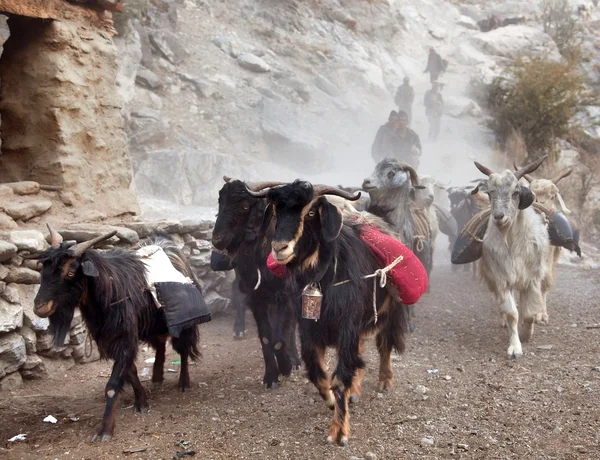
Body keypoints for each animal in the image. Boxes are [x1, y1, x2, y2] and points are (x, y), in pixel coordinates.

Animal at [31, 226, 202, 442]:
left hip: (181, 321)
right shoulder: (110, 339)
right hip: (154, 323)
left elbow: (112, 386)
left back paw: (183, 383)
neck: (107, 291)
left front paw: (105, 430)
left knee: (183, 348)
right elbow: (131, 371)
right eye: (43, 269)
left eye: (70, 272)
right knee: (161, 343)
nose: (40, 307)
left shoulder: (124, 338)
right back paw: (156, 377)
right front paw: (142, 402)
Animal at [213, 176, 302, 388]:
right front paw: (270, 377)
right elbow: (266, 337)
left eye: (245, 206)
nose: (218, 240)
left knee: (291, 326)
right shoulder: (255, 297)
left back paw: (295, 359)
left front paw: (286, 366)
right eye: (220, 201)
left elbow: (279, 337)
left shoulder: (284, 294)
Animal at [246, 180, 410, 446]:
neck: (323, 277)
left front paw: (339, 432)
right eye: (276, 211)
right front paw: (332, 402)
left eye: (311, 212)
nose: (280, 247)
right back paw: (356, 390)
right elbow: (317, 374)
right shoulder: (309, 329)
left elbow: (340, 377)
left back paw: (385, 382)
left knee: (384, 345)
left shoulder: (347, 327)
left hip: (388, 310)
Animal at [474, 156, 552, 362]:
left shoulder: (531, 280)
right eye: (490, 193)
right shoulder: (501, 280)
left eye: (516, 192)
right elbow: (511, 313)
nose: (499, 216)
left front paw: (526, 334)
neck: (511, 242)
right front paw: (515, 348)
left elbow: (529, 314)